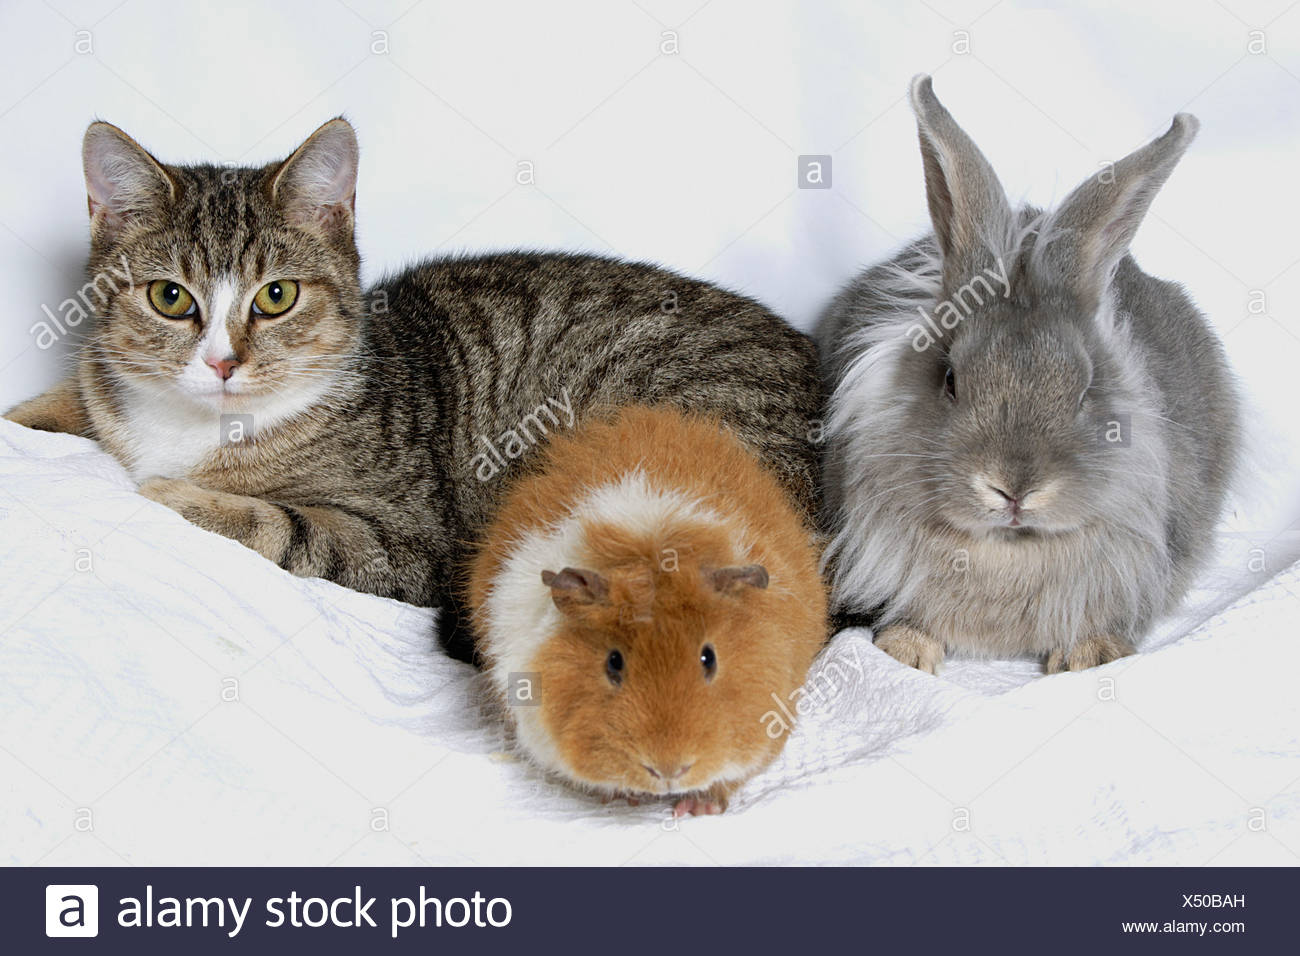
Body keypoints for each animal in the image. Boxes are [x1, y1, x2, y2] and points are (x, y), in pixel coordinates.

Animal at [816, 75, 1239, 675]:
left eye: (1085, 389)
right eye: (950, 379)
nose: (1014, 489)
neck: (1007, 549)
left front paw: (1091, 655)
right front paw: (906, 651)